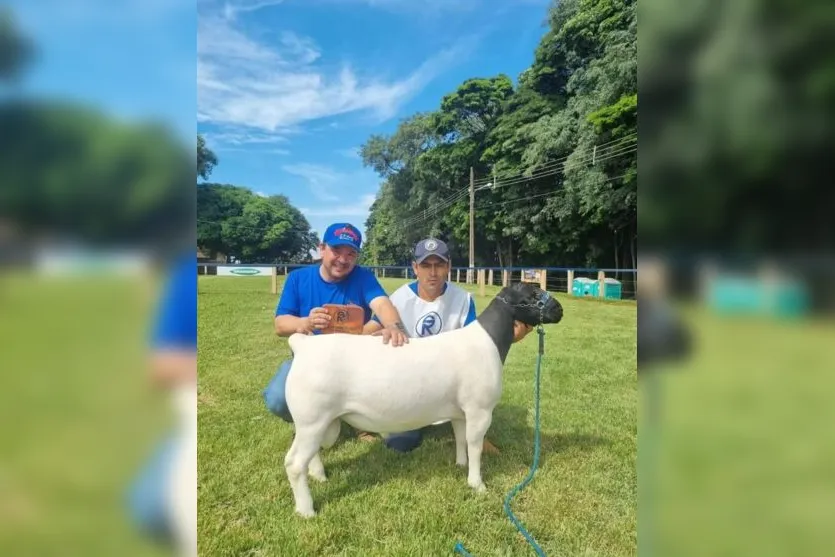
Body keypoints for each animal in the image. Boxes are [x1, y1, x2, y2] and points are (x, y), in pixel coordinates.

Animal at [284, 282, 564, 516]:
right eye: (533, 293)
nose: (559, 309)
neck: (487, 341)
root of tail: (303, 345)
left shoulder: (460, 412)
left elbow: (461, 438)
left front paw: (460, 465)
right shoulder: (479, 409)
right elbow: (475, 445)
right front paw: (477, 484)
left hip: (318, 421)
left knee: (311, 455)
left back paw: (320, 476)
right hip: (312, 418)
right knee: (294, 464)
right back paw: (307, 510)